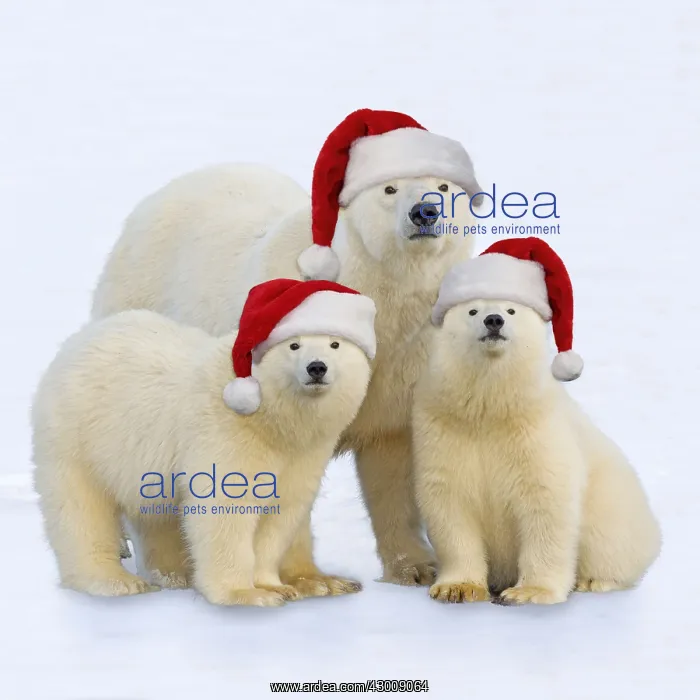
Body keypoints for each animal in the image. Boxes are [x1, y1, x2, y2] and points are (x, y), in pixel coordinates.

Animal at [33, 279, 376, 605]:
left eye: (335, 344)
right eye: (293, 345)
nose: (316, 367)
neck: (269, 418)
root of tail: (76, 342)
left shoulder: (304, 453)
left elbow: (282, 512)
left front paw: (275, 586)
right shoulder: (226, 433)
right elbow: (225, 507)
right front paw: (246, 593)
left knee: (156, 514)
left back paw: (174, 574)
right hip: (79, 435)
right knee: (80, 509)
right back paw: (114, 581)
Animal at [90, 109, 484, 587]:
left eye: (443, 187)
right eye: (389, 188)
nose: (425, 211)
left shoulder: (405, 363)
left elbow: (393, 464)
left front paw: (416, 568)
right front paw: (309, 578)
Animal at [412, 240, 661, 605]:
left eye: (512, 310)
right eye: (471, 311)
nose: (494, 319)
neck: (491, 409)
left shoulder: (537, 431)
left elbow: (546, 504)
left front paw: (528, 592)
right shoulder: (442, 427)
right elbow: (450, 503)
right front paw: (456, 587)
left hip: (615, 501)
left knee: (610, 542)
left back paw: (594, 580)